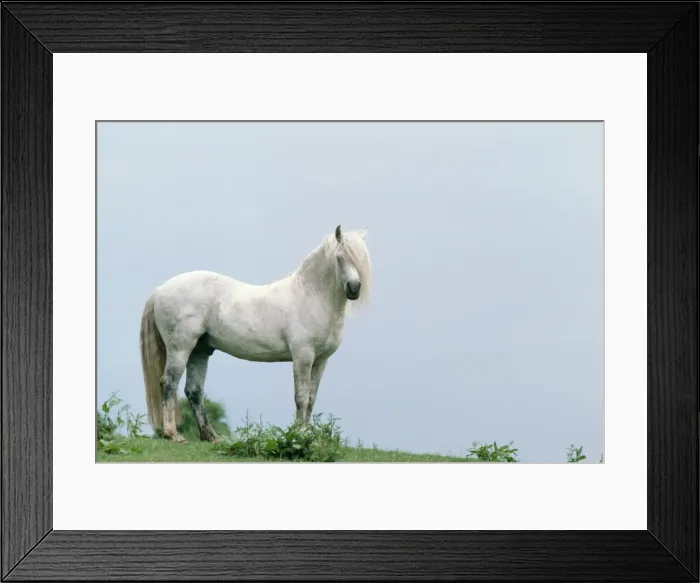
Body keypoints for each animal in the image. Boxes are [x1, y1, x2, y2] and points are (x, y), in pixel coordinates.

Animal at [139, 225, 372, 443]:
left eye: (362, 259)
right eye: (340, 258)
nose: (354, 289)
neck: (311, 295)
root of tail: (160, 289)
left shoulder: (321, 361)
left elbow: (312, 399)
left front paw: (309, 437)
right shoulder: (303, 357)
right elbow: (301, 398)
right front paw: (300, 436)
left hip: (200, 351)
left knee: (194, 391)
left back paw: (211, 436)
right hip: (180, 349)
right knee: (169, 384)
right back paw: (173, 434)